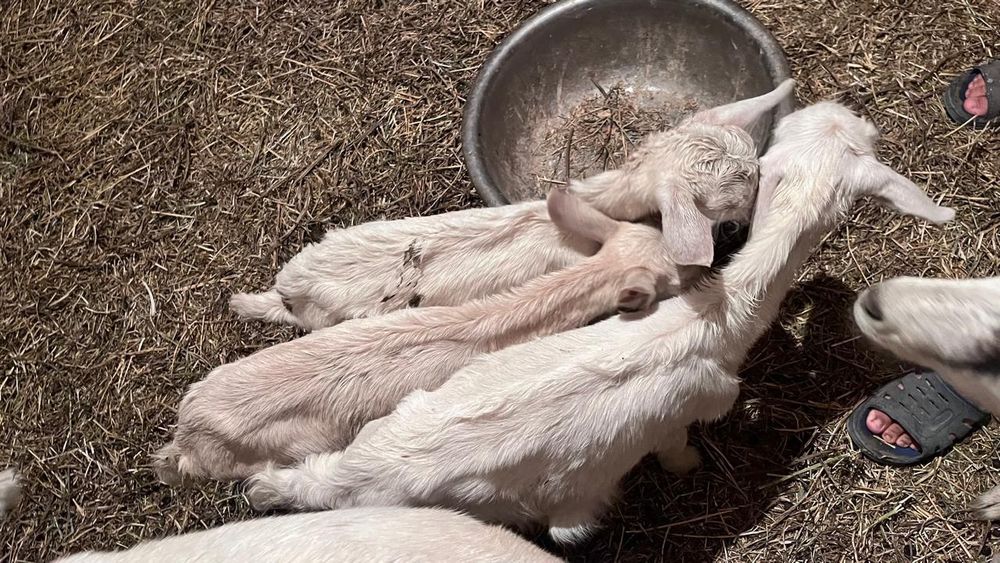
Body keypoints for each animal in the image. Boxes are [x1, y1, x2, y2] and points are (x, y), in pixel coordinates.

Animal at [243, 101, 954, 544]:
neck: (718, 318)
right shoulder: (690, 409)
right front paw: (691, 471)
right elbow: (678, 451)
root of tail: (350, 478)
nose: (848, 109)